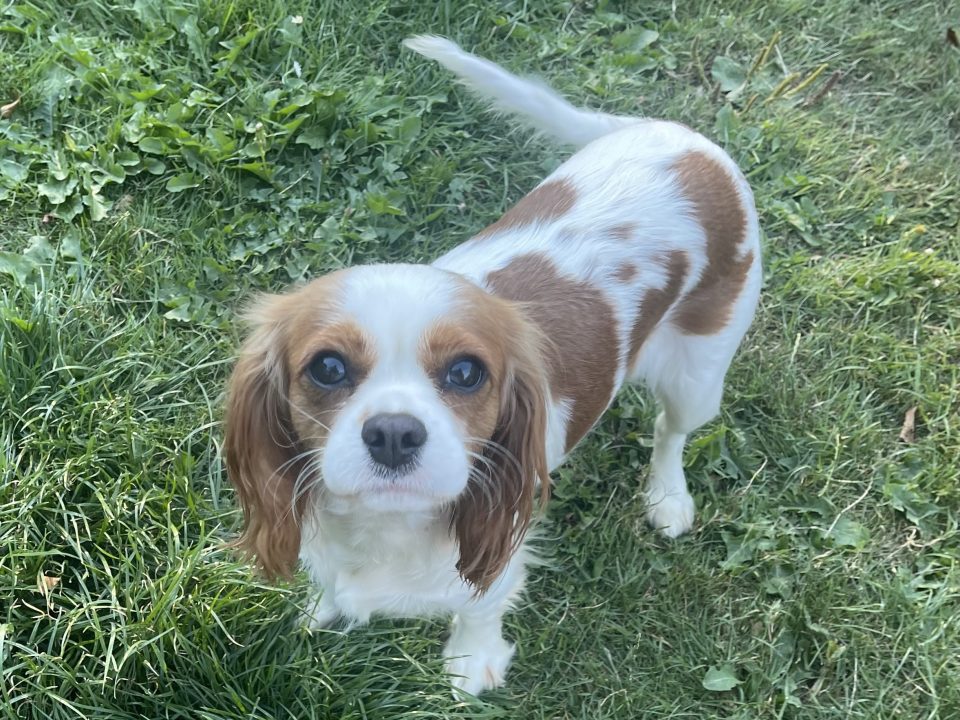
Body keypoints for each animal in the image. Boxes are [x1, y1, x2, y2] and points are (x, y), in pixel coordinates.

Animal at [221, 36, 760, 696]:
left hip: (700, 370)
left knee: (671, 430)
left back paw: (667, 496)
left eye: (465, 373)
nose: (394, 433)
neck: (386, 524)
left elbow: (480, 605)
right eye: (327, 367)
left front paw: (469, 662)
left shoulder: (501, 545)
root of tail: (687, 142)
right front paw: (322, 610)